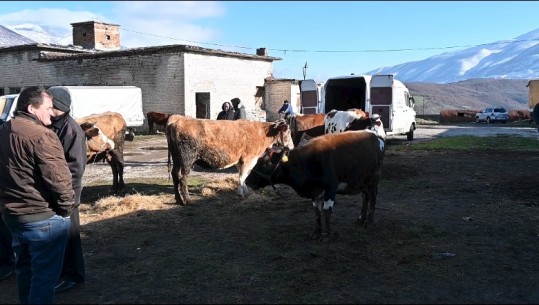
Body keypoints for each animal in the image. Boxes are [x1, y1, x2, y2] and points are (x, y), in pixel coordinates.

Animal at [166, 115, 296, 205]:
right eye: (288, 132)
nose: (292, 147)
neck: (262, 133)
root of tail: (177, 119)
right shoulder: (249, 159)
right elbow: (243, 176)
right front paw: (241, 194)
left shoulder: (240, 160)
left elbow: (242, 176)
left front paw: (246, 190)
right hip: (186, 159)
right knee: (183, 178)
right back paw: (187, 200)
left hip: (177, 159)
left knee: (175, 175)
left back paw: (178, 199)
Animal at [247, 122, 386, 241]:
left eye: (264, 163)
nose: (247, 181)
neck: (305, 161)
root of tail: (376, 136)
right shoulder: (315, 191)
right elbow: (317, 212)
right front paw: (316, 233)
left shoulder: (331, 188)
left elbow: (326, 211)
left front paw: (326, 235)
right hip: (363, 181)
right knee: (365, 197)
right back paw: (360, 219)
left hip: (373, 180)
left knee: (372, 197)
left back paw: (368, 221)